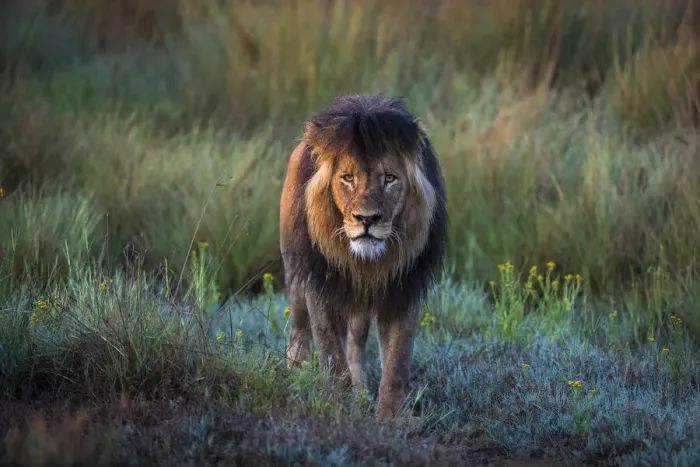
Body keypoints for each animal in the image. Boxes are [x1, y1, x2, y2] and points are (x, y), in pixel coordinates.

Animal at [279, 94, 447, 421]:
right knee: (299, 329)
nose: (367, 219)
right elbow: (332, 354)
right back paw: (294, 376)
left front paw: (391, 418)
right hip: (295, 274)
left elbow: (396, 360)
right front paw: (340, 409)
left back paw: (361, 394)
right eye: (347, 178)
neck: (365, 263)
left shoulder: (402, 290)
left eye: (390, 178)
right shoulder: (319, 286)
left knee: (356, 342)